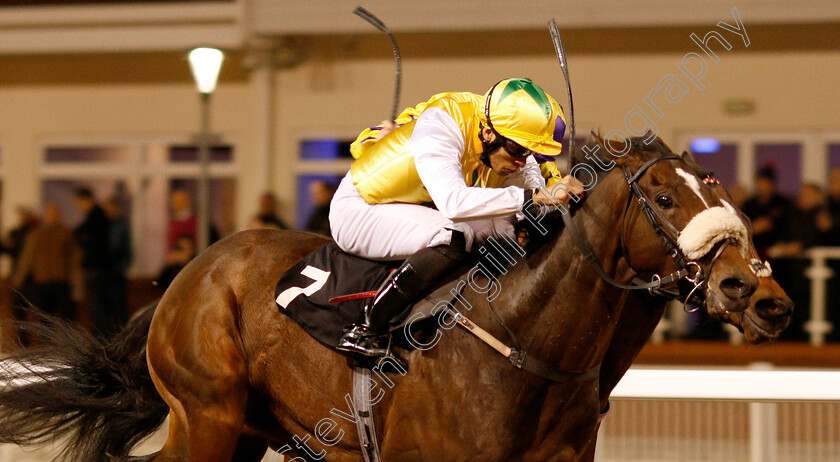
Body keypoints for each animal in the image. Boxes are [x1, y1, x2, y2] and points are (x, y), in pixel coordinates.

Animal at [0, 134, 788, 462]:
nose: (761, 294)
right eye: (664, 197)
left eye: (718, 186)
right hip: (207, 414)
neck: (524, 342)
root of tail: (190, 274)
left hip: (248, 428)